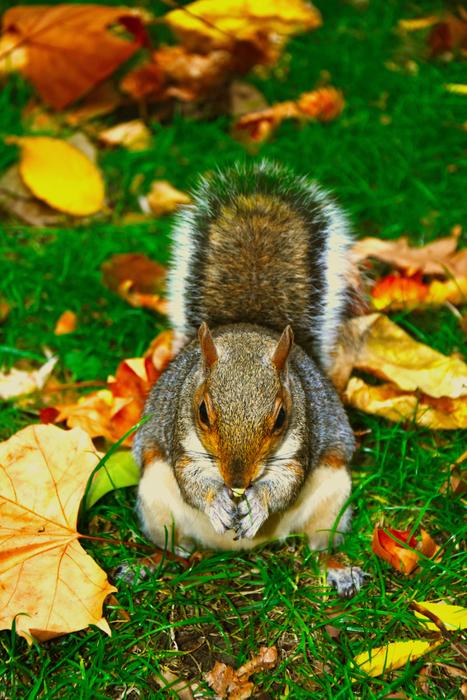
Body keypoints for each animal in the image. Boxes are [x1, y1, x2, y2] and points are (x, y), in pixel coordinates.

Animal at [134, 160, 360, 564]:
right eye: (202, 410)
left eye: (281, 416)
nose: (238, 483)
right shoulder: (180, 433)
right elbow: (190, 479)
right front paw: (218, 501)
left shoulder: (301, 437)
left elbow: (288, 482)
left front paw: (257, 504)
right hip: (154, 494)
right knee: (172, 543)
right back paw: (156, 562)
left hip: (333, 495)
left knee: (319, 541)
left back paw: (335, 567)